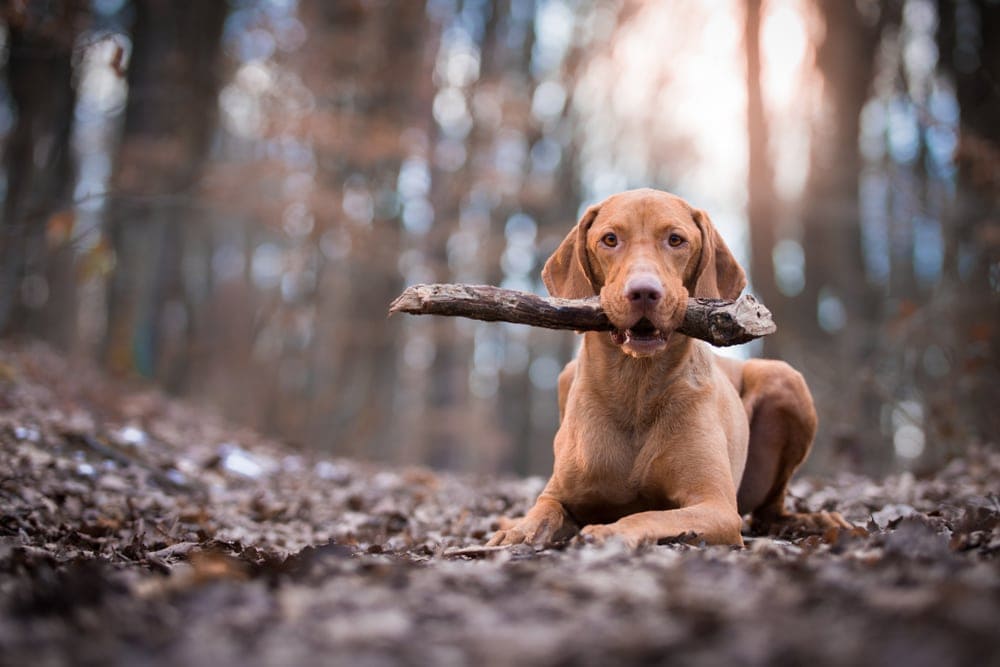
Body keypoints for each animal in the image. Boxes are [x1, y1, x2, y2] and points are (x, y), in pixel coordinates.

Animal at [488, 188, 848, 548]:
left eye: (675, 240)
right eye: (610, 239)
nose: (644, 292)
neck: (635, 386)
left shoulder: (715, 505)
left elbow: (645, 515)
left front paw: (609, 530)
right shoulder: (560, 492)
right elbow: (544, 509)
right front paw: (516, 530)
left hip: (785, 378)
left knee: (770, 510)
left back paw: (815, 520)